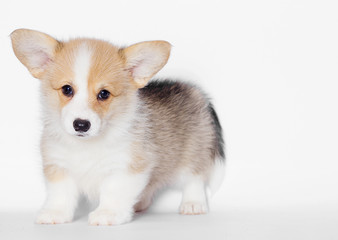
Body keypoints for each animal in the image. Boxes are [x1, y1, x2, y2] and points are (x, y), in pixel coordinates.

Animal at [9, 29, 224, 226]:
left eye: (104, 94)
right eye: (67, 89)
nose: (81, 125)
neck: (86, 145)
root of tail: (195, 93)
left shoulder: (126, 166)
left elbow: (113, 191)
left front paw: (108, 214)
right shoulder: (58, 165)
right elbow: (60, 194)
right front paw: (55, 213)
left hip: (194, 153)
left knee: (195, 178)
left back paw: (193, 204)